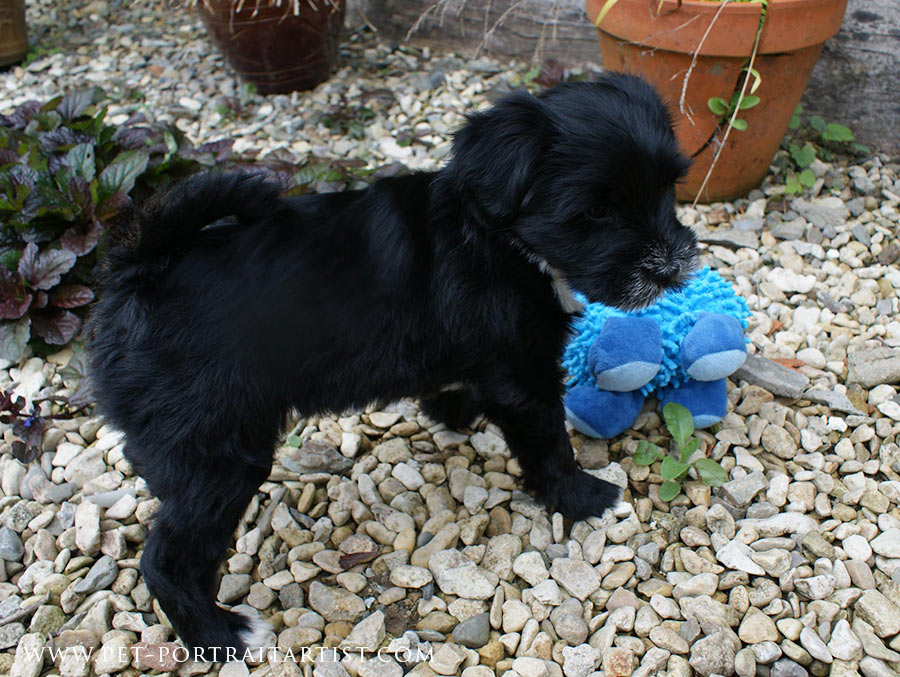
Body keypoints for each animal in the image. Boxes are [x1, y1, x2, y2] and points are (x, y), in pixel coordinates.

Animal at [89, 72, 696, 648]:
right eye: (596, 210)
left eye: (668, 187)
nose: (672, 268)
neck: (496, 235)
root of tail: (139, 270)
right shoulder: (524, 372)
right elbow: (547, 442)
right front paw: (582, 496)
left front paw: (449, 411)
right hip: (219, 450)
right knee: (165, 560)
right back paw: (219, 633)